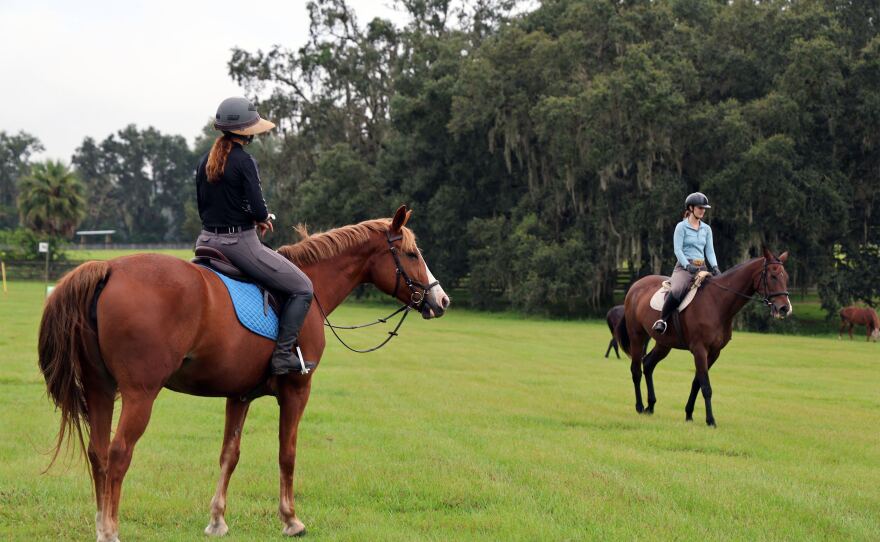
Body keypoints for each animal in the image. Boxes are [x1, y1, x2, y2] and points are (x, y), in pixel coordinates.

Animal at [37, 206, 450, 540]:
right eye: (411, 254)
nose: (440, 299)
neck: (312, 288)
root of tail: (109, 267)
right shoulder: (297, 390)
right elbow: (287, 453)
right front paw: (291, 520)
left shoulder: (239, 395)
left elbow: (229, 455)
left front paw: (217, 520)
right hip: (140, 393)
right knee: (119, 453)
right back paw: (110, 530)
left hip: (101, 389)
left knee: (99, 454)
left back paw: (100, 522)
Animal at [616, 249, 796, 428]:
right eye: (773, 276)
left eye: (786, 277)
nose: (784, 308)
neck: (717, 302)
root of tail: (636, 286)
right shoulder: (699, 349)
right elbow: (706, 385)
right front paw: (711, 420)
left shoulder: (714, 352)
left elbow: (697, 382)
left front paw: (689, 414)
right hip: (637, 337)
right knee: (636, 370)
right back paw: (640, 406)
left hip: (664, 344)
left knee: (648, 364)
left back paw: (651, 406)